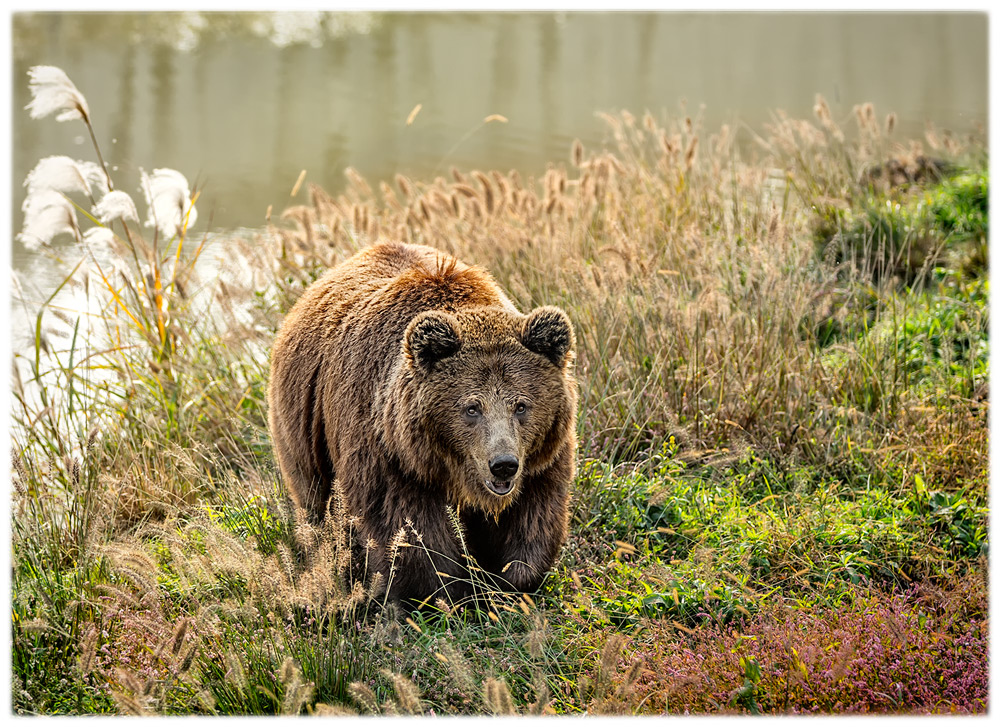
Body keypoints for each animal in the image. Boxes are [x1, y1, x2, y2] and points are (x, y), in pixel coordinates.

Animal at [266, 242, 580, 604]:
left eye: (521, 405)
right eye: (472, 407)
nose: (503, 464)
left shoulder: (542, 459)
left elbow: (533, 520)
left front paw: (508, 584)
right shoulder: (390, 455)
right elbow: (408, 530)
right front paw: (441, 592)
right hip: (305, 431)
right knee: (316, 502)